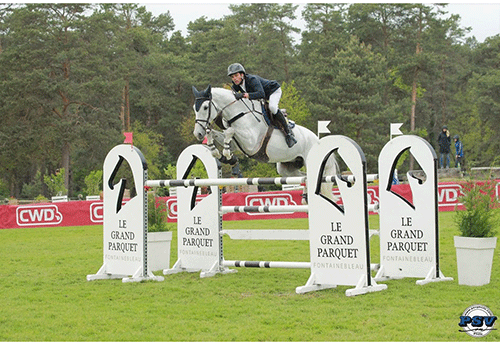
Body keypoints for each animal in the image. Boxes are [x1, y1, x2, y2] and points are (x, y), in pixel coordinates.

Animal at [191, 84, 336, 200]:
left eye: (205, 107)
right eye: (194, 108)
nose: (197, 133)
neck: (239, 114)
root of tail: (317, 139)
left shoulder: (251, 143)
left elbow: (230, 131)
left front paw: (227, 155)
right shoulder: (237, 144)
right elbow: (215, 134)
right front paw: (217, 152)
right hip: (287, 168)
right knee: (304, 177)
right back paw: (305, 197)